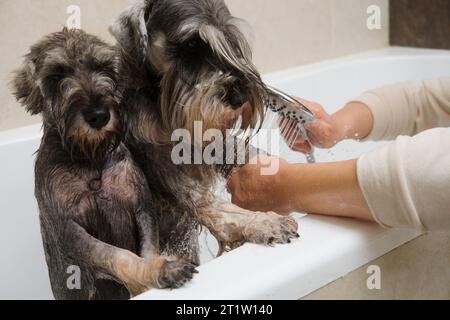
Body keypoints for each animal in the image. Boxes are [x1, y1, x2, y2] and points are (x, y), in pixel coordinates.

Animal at [11, 28, 198, 300]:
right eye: (57, 75)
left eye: (104, 68)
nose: (98, 115)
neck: (91, 160)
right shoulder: (72, 230)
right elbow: (119, 256)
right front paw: (160, 270)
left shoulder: (141, 206)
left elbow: (148, 248)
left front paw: (157, 266)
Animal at [110, 0, 298, 262]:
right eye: (191, 44)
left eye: (230, 39)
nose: (240, 96)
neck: (161, 104)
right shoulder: (164, 168)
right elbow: (211, 204)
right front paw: (264, 222)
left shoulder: (210, 140)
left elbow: (244, 152)